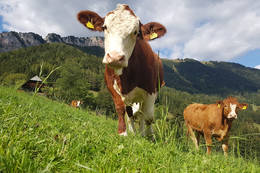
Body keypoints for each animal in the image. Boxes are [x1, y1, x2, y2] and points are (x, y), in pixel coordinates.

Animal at [77, 4, 167, 137]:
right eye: (104, 27)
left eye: (136, 32)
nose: (115, 57)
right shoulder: (111, 86)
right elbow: (121, 109)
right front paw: (123, 133)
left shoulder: (151, 91)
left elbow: (149, 116)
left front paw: (150, 136)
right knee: (131, 114)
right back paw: (134, 133)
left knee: (143, 115)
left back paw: (143, 133)